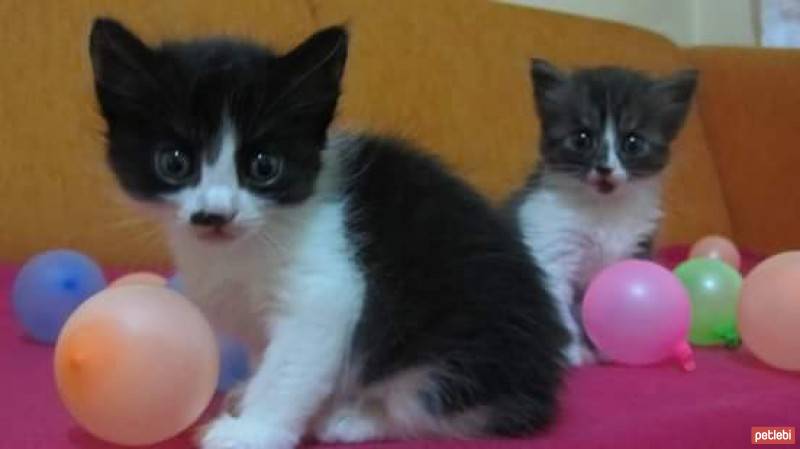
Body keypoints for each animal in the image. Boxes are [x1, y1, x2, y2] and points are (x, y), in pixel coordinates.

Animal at [87, 18, 564, 448]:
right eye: (174, 162)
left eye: (264, 166)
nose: (215, 214)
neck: (245, 246)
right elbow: (269, 353)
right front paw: (249, 395)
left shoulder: (327, 288)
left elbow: (291, 364)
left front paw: (253, 431)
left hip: (457, 343)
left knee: (430, 404)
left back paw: (354, 418)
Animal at [510, 59, 696, 366]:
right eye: (582, 139)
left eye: (632, 142)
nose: (605, 168)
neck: (603, 209)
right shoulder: (547, 244)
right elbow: (559, 307)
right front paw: (574, 353)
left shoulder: (636, 246)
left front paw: (619, 346)